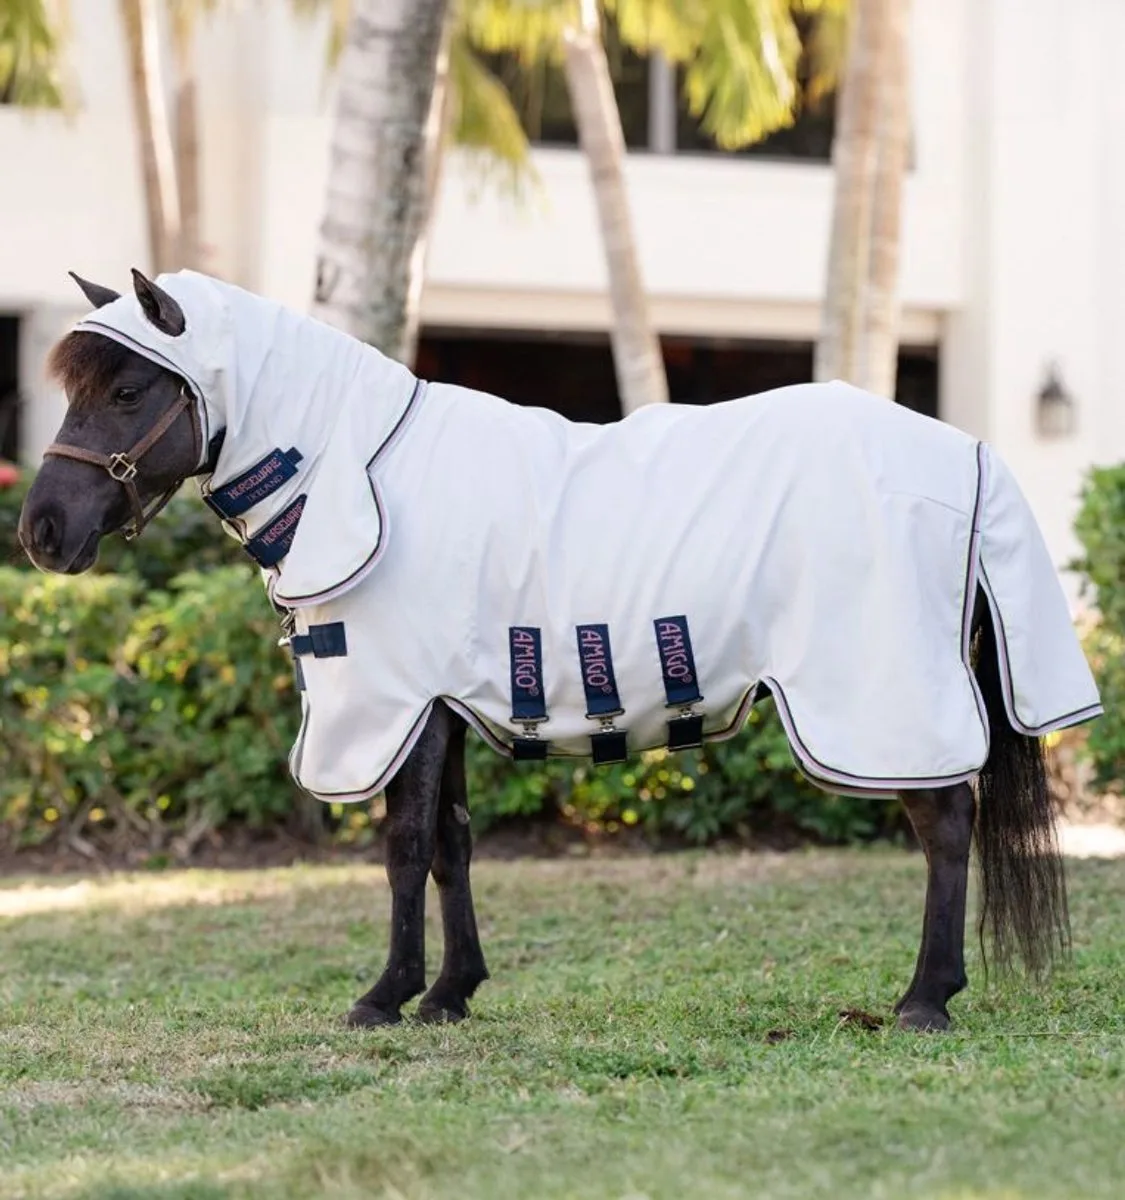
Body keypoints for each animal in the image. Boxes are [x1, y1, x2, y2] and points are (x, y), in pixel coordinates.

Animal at [18, 267, 1102, 1033]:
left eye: (126, 390)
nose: (40, 533)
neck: (359, 474)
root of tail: (960, 450)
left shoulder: (400, 702)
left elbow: (404, 847)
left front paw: (384, 996)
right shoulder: (443, 704)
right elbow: (451, 844)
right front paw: (451, 992)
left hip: (879, 697)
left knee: (945, 825)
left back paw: (925, 998)